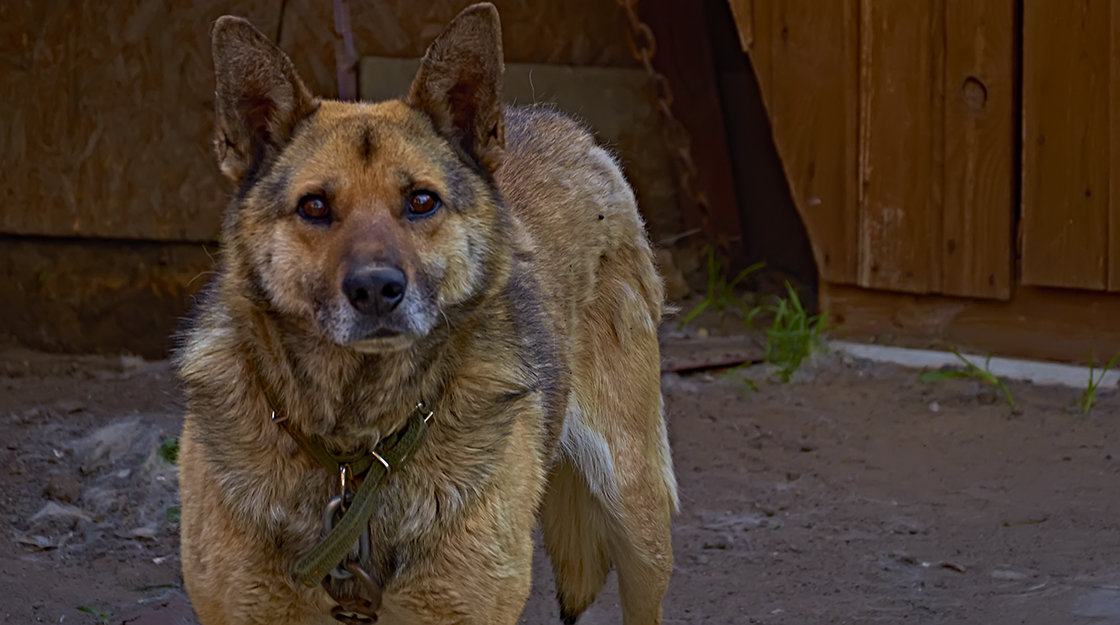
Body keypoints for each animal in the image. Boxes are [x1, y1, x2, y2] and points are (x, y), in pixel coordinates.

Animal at [179, 6, 676, 625]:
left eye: (421, 201)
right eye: (314, 206)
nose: (375, 290)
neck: (356, 447)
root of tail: (563, 126)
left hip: (637, 513)